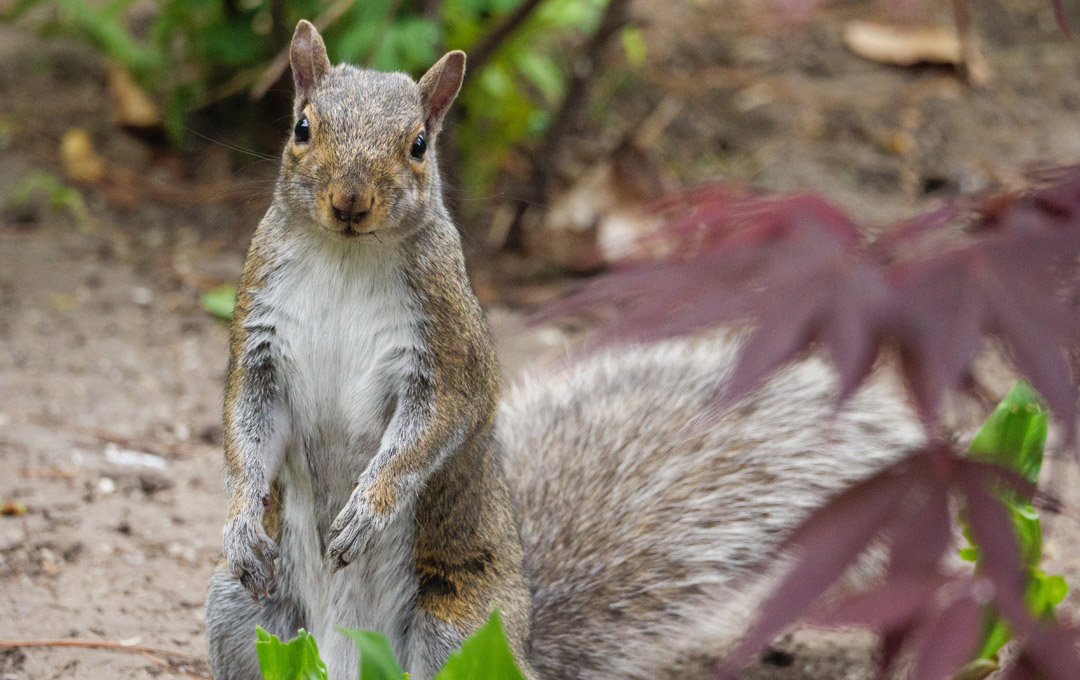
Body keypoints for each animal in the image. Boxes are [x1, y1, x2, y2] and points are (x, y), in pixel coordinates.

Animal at [206, 19, 924, 680]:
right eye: (302, 127)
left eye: (418, 145)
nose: (349, 203)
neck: (346, 258)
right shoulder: (260, 339)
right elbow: (247, 428)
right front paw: (242, 519)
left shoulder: (448, 353)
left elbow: (430, 432)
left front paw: (368, 510)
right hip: (239, 613)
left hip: (459, 627)